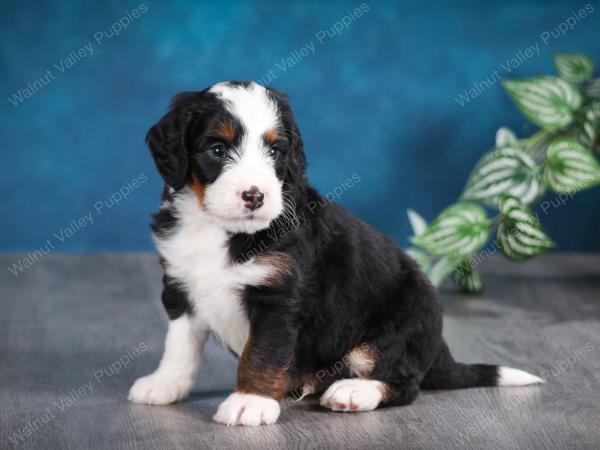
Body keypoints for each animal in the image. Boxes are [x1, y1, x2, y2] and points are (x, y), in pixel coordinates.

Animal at [129, 80, 548, 426]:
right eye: (217, 149)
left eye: (275, 151)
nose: (254, 196)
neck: (220, 230)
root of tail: (437, 348)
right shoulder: (180, 285)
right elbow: (179, 344)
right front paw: (164, 384)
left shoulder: (279, 297)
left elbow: (263, 353)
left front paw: (250, 401)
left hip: (399, 325)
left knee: (404, 381)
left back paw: (353, 391)